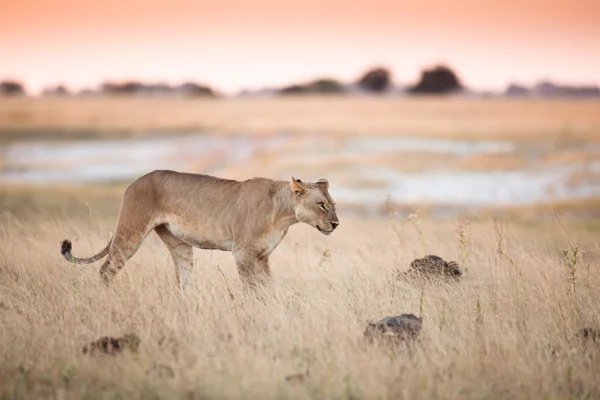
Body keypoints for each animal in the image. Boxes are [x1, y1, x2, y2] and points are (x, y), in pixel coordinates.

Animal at [62, 170, 342, 290]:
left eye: (334, 205)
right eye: (321, 204)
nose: (336, 224)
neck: (284, 214)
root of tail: (134, 182)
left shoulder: (262, 257)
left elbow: (266, 287)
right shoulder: (243, 253)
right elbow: (251, 289)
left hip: (179, 245)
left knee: (184, 281)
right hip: (130, 232)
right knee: (106, 270)